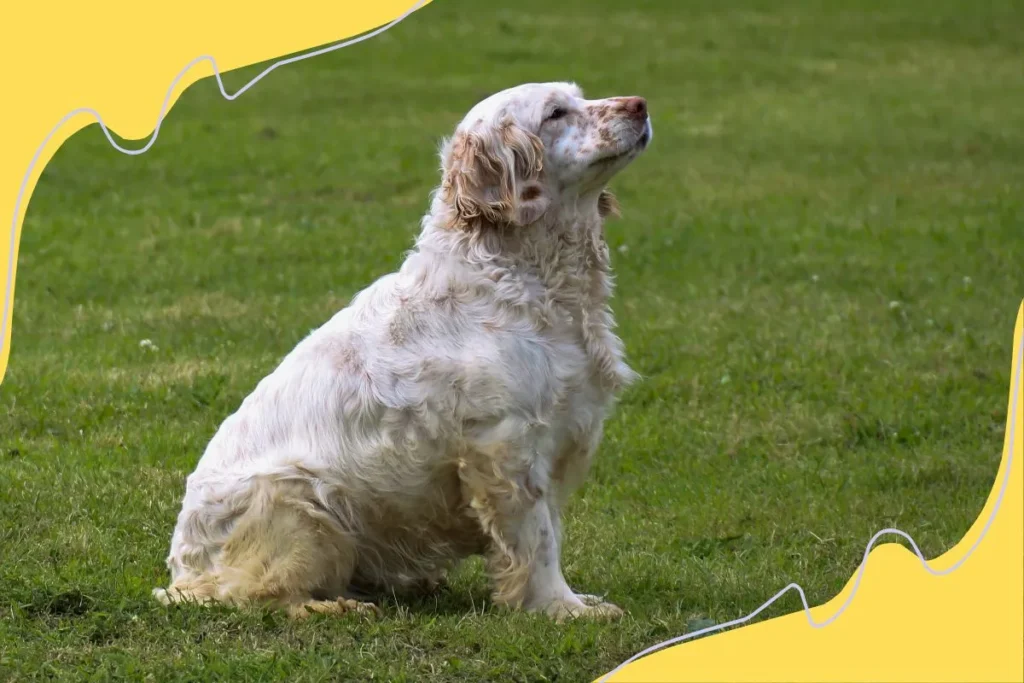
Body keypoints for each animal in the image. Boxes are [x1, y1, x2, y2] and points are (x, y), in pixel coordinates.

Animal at [155, 82, 651, 622]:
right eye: (556, 112)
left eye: (581, 96)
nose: (639, 105)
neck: (524, 272)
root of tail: (183, 571)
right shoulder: (506, 443)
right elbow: (538, 540)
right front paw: (560, 607)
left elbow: (551, 531)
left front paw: (575, 599)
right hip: (303, 502)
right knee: (261, 595)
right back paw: (340, 606)